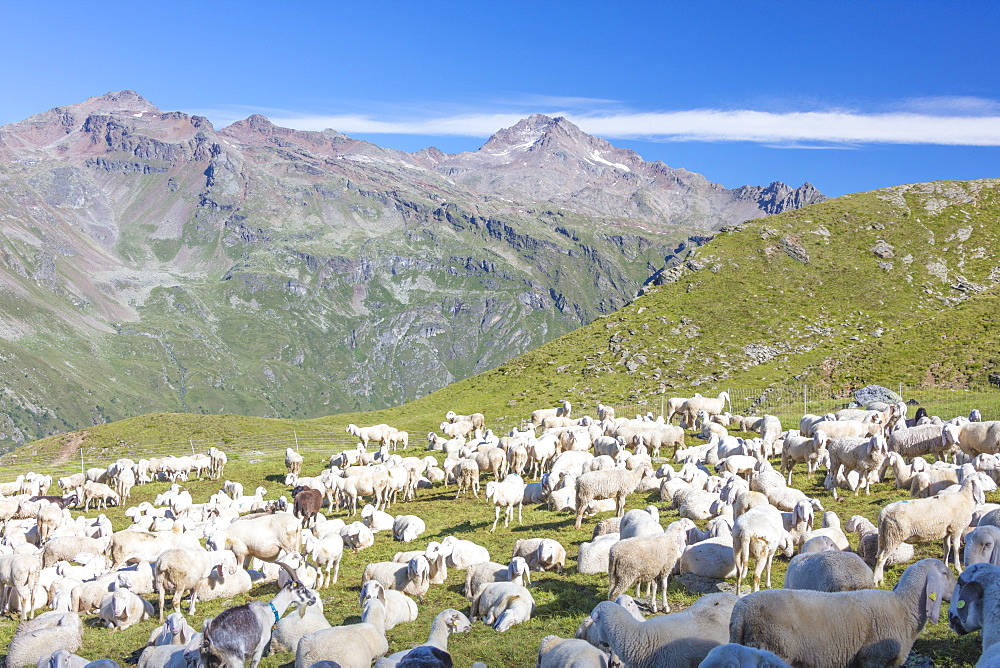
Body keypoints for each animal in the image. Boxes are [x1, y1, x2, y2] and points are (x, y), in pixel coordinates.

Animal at [732, 560, 956, 668]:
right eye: (945, 573)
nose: (958, 588)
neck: (904, 606)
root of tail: (741, 612)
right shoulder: (873, 657)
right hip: (773, 648)